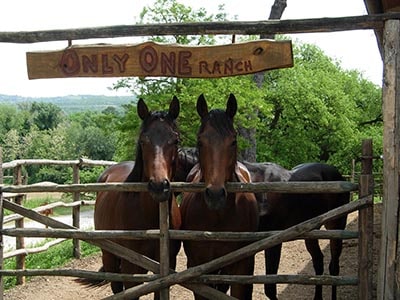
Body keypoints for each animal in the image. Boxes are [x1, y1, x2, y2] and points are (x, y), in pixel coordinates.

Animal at [94, 97, 181, 298]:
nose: (159, 185)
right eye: (143, 140)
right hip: (110, 255)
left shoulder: (165, 269)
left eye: (175, 140)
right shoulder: (131, 269)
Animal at [179, 94, 260, 300]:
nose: (215, 195)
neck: (217, 219)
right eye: (200, 141)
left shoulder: (241, 267)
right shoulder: (198, 268)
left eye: (233, 141)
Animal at [258, 163, 352, 298]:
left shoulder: (273, 242)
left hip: (336, 228)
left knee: (334, 267)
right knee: (318, 261)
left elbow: (269, 288)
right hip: (311, 234)